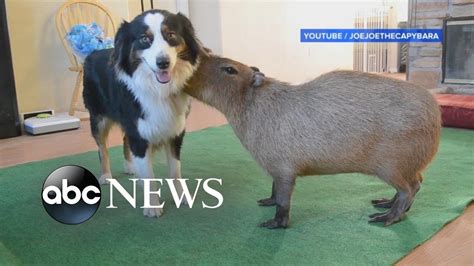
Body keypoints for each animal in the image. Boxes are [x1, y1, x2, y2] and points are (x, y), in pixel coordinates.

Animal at [83, 9, 204, 218]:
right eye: (144, 39)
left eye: (170, 35)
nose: (163, 63)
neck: (157, 89)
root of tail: (94, 52)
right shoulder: (138, 133)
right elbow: (149, 176)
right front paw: (153, 206)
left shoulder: (174, 132)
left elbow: (175, 171)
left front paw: (181, 197)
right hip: (98, 117)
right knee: (102, 148)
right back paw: (106, 175)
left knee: (125, 140)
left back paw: (131, 167)